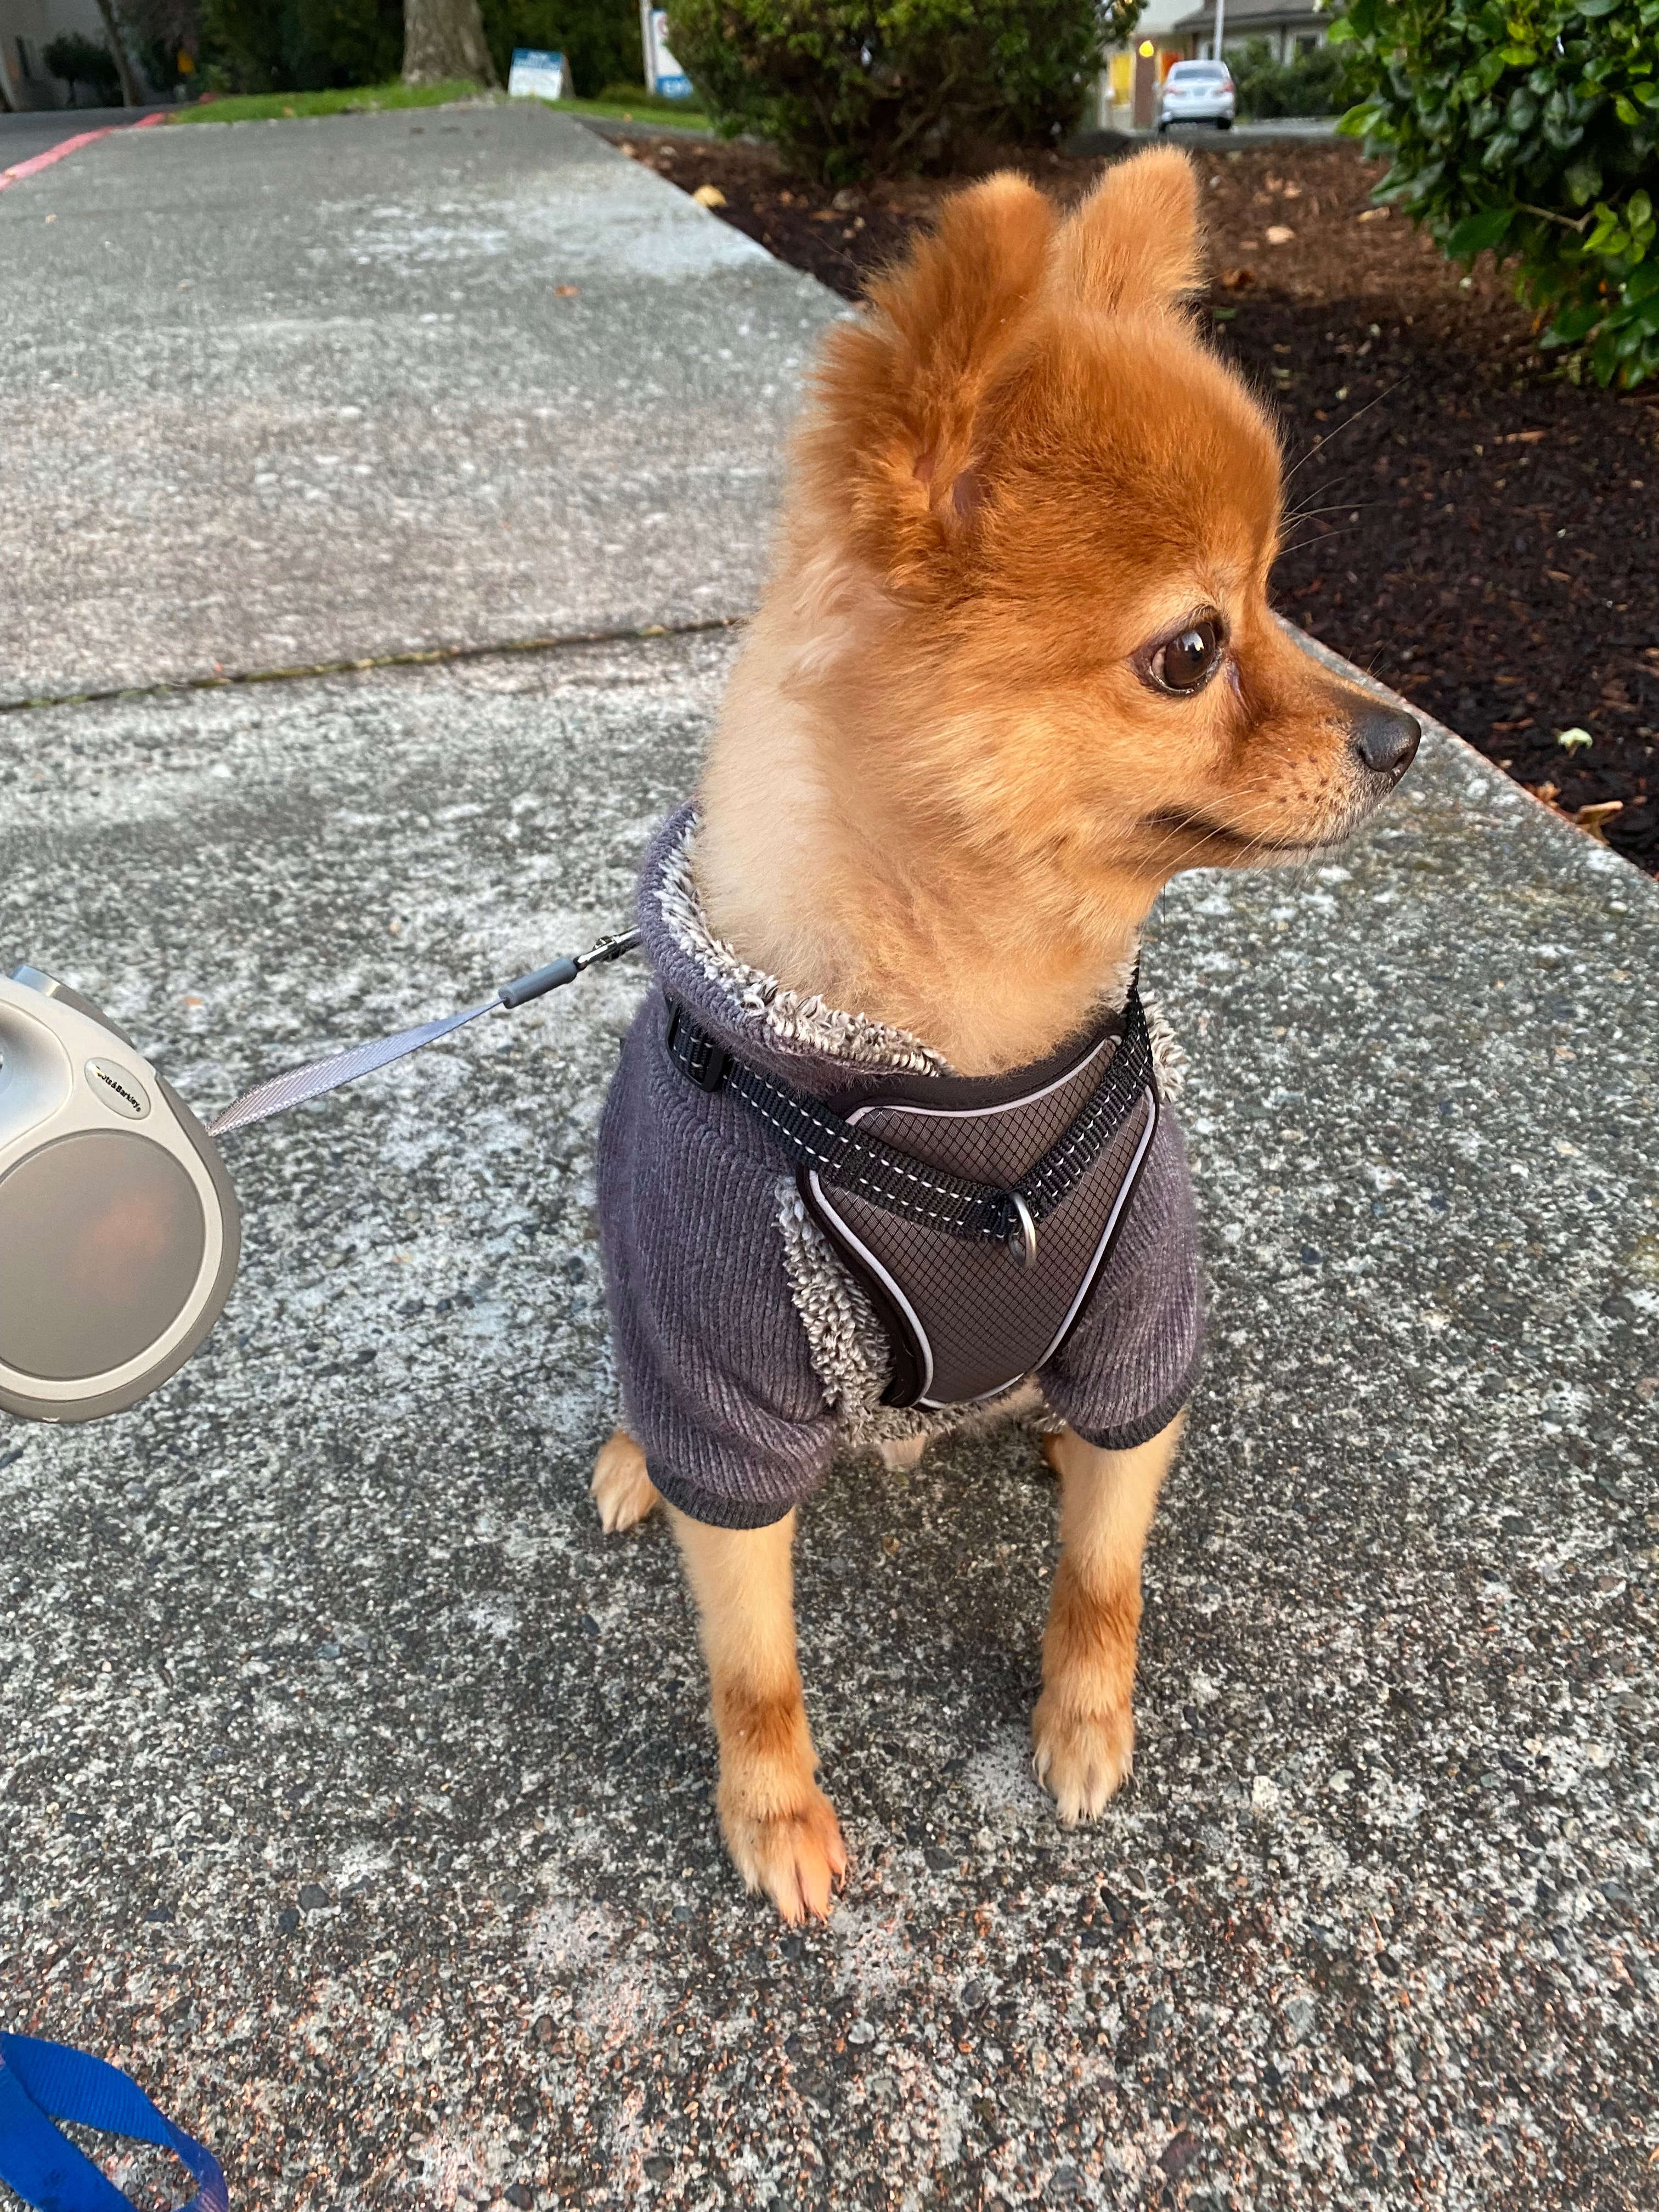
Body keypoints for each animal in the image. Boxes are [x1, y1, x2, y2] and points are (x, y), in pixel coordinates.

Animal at [587, 148, 1418, 1923]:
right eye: (1193, 651)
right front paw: (774, 1814)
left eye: (1280, 596)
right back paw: (629, 1455)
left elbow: (1106, 1572)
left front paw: (1083, 1720)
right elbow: (752, 1663)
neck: (962, 1078)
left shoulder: (1141, 1314)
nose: (1400, 740)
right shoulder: (723, 1386)